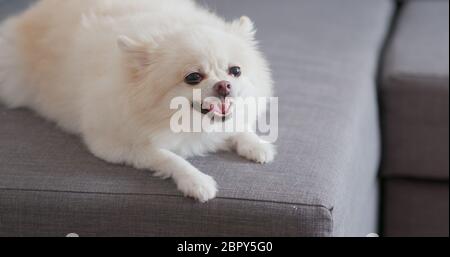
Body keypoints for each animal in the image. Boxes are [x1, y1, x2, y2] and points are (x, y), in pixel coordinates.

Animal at [0, 0, 274, 201]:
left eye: (235, 71)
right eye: (193, 77)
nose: (224, 85)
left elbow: (238, 127)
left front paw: (256, 144)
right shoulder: (118, 147)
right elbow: (169, 157)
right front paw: (196, 181)